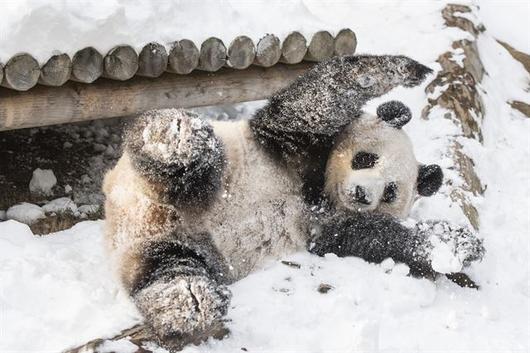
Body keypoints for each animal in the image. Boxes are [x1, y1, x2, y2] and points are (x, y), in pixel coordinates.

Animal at [102, 55, 482, 350]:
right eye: (365, 159)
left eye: (390, 192)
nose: (361, 194)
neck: (317, 192)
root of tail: (137, 213)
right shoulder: (288, 145)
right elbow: (315, 101)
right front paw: (407, 69)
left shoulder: (328, 229)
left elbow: (374, 236)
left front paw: (456, 246)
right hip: (191, 171)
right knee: (185, 155)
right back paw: (176, 138)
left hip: (176, 249)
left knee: (168, 268)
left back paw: (191, 301)